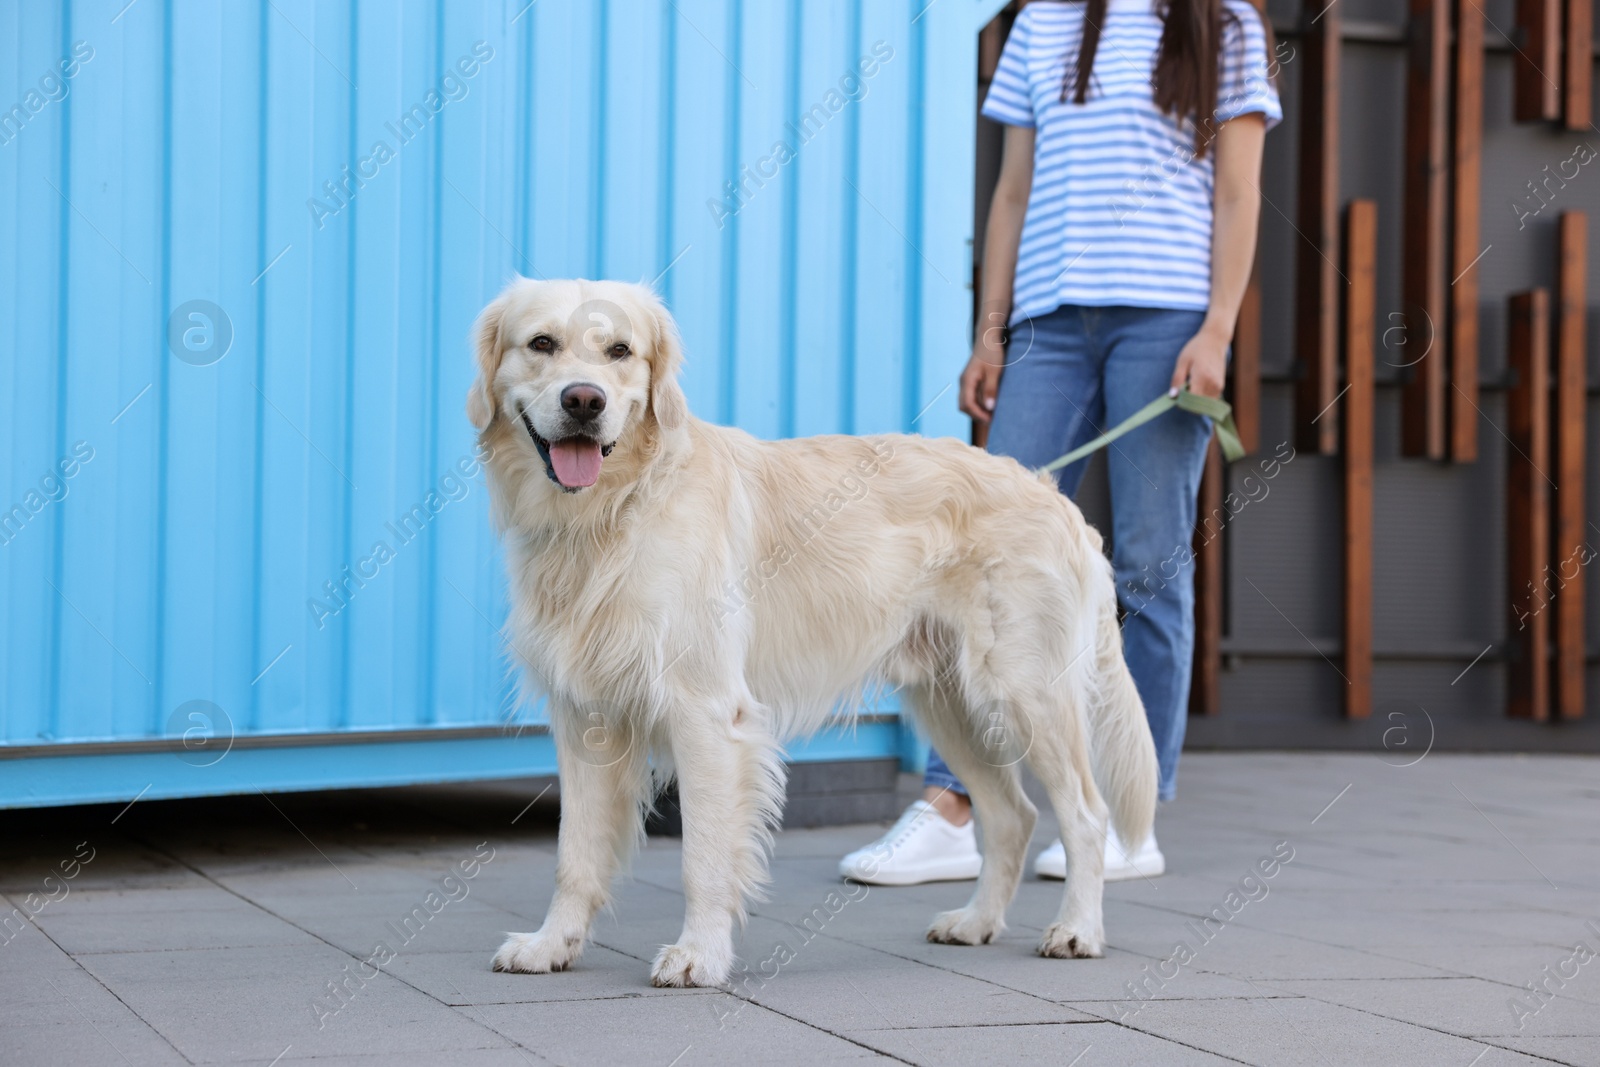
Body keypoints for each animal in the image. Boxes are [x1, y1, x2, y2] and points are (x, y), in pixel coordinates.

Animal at [467, 278, 1158, 991]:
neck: (613, 511)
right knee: (1012, 816)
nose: (584, 401)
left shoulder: (707, 715)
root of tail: (1057, 498)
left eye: (620, 351)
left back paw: (1077, 930)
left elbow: (704, 855)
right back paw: (976, 922)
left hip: (1025, 693)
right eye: (541, 343)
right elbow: (574, 856)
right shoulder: (584, 721)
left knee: (1085, 815)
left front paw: (699, 954)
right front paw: (552, 944)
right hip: (951, 705)